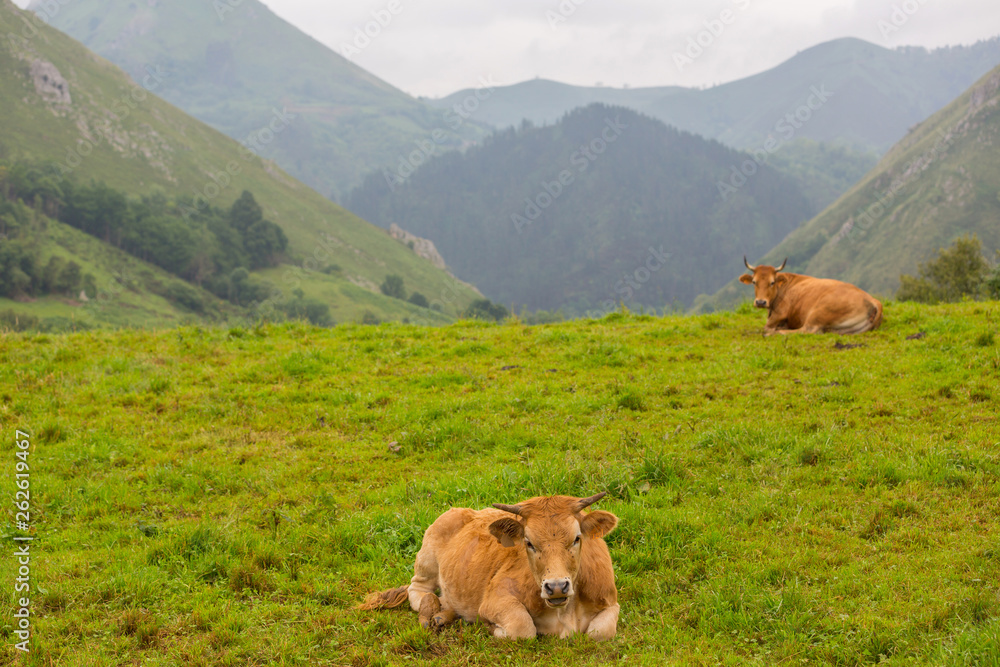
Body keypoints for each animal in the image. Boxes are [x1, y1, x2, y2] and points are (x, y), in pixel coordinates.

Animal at [360, 493, 619, 640]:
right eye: (529, 542)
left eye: (577, 538)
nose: (556, 587)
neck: (565, 613)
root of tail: (463, 509)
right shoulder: (495, 599)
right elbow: (523, 628)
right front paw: (492, 628)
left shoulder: (611, 601)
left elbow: (599, 632)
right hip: (426, 561)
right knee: (418, 591)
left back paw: (445, 613)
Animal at [739, 257, 883, 335]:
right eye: (754, 282)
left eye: (772, 282)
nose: (760, 302)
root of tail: (873, 300)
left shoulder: (780, 313)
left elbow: (766, 326)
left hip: (818, 312)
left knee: (807, 329)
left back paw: (775, 332)